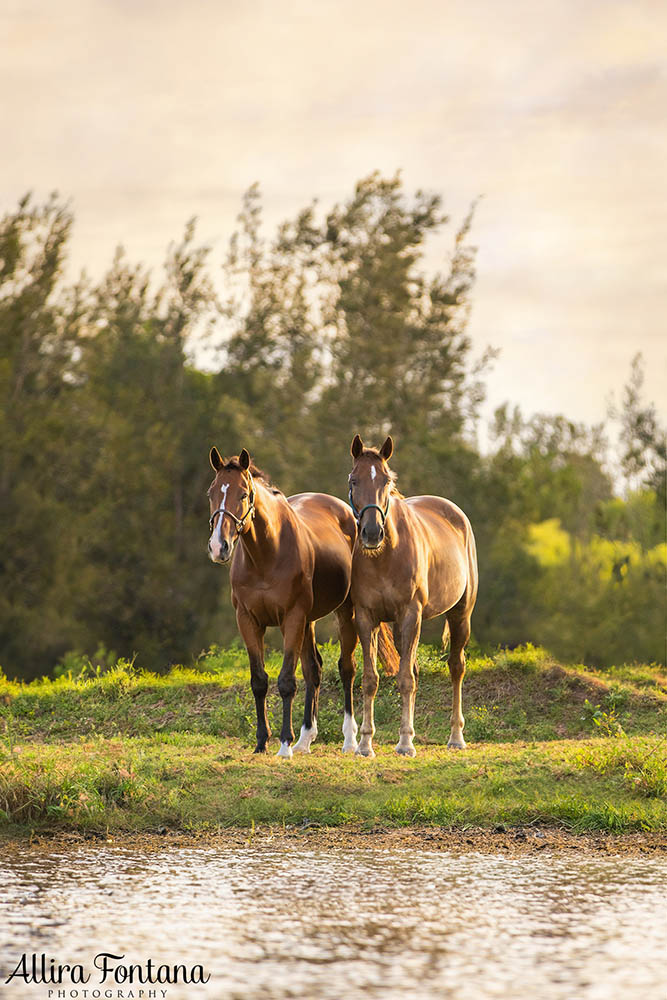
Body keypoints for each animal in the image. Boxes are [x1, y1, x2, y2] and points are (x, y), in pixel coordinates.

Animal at [206, 448, 400, 756]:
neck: (266, 555)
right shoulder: (248, 620)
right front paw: (261, 742)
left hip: (343, 614)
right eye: (211, 492)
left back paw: (349, 740)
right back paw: (305, 738)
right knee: (314, 669)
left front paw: (283, 744)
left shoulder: (292, 617)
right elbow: (259, 681)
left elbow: (287, 681)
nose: (218, 546)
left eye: (244, 494)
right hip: (308, 622)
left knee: (346, 669)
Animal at [348, 436, 478, 756]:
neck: (385, 556)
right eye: (354, 480)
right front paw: (365, 744)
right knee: (417, 670)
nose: (372, 533)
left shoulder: (410, 615)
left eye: (386, 481)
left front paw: (405, 743)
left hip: (460, 615)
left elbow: (405, 680)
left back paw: (456, 737)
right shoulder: (366, 617)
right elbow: (370, 680)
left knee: (456, 667)